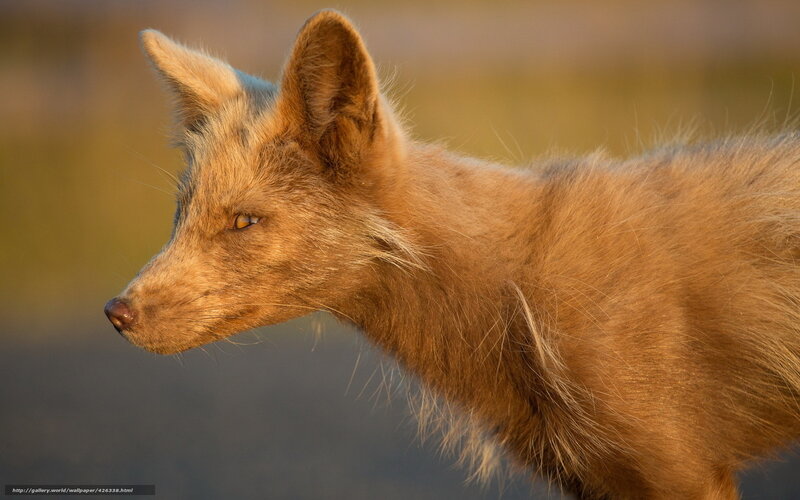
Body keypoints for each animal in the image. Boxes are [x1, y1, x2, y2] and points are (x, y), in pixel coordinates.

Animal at [103, 9, 800, 500]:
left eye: (244, 221)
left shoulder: (681, 470)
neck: (519, 309)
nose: (116, 312)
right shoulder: (603, 478)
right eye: (181, 214)